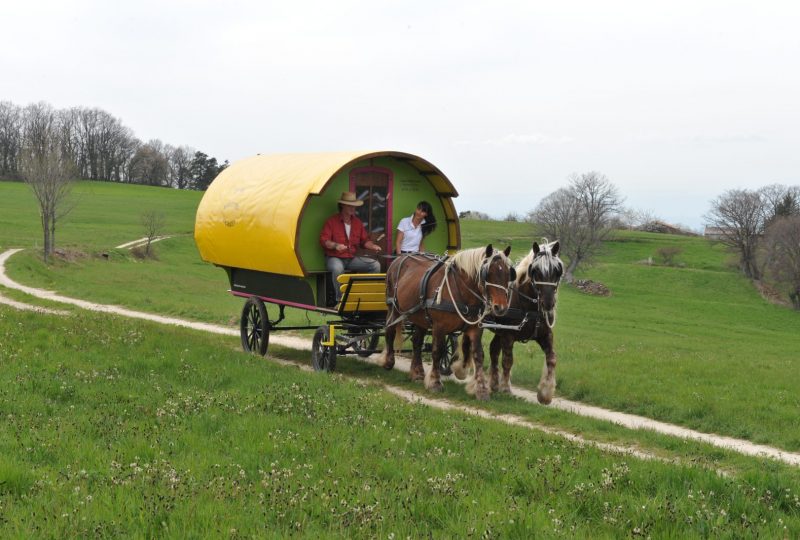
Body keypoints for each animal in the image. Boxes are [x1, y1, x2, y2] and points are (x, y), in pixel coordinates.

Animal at [382, 247, 512, 398]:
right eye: (487, 273)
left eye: (508, 274)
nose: (500, 307)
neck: (462, 291)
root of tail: (399, 258)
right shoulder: (439, 327)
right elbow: (437, 351)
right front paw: (435, 383)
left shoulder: (475, 328)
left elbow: (478, 354)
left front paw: (481, 389)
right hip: (393, 308)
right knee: (390, 331)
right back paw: (388, 361)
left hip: (420, 316)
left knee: (417, 341)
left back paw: (417, 372)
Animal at [456, 240, 564, 404]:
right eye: (536, 270)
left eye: (557, 271)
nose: (548, 303)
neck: (528, 305)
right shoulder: (508, 335)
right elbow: (508, 361)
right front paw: (506, 388)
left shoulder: (545, 334)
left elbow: (552, 358)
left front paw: (545, 393)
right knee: (469, 343)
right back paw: (461, 370)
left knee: (493, 349)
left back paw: (493, 382)